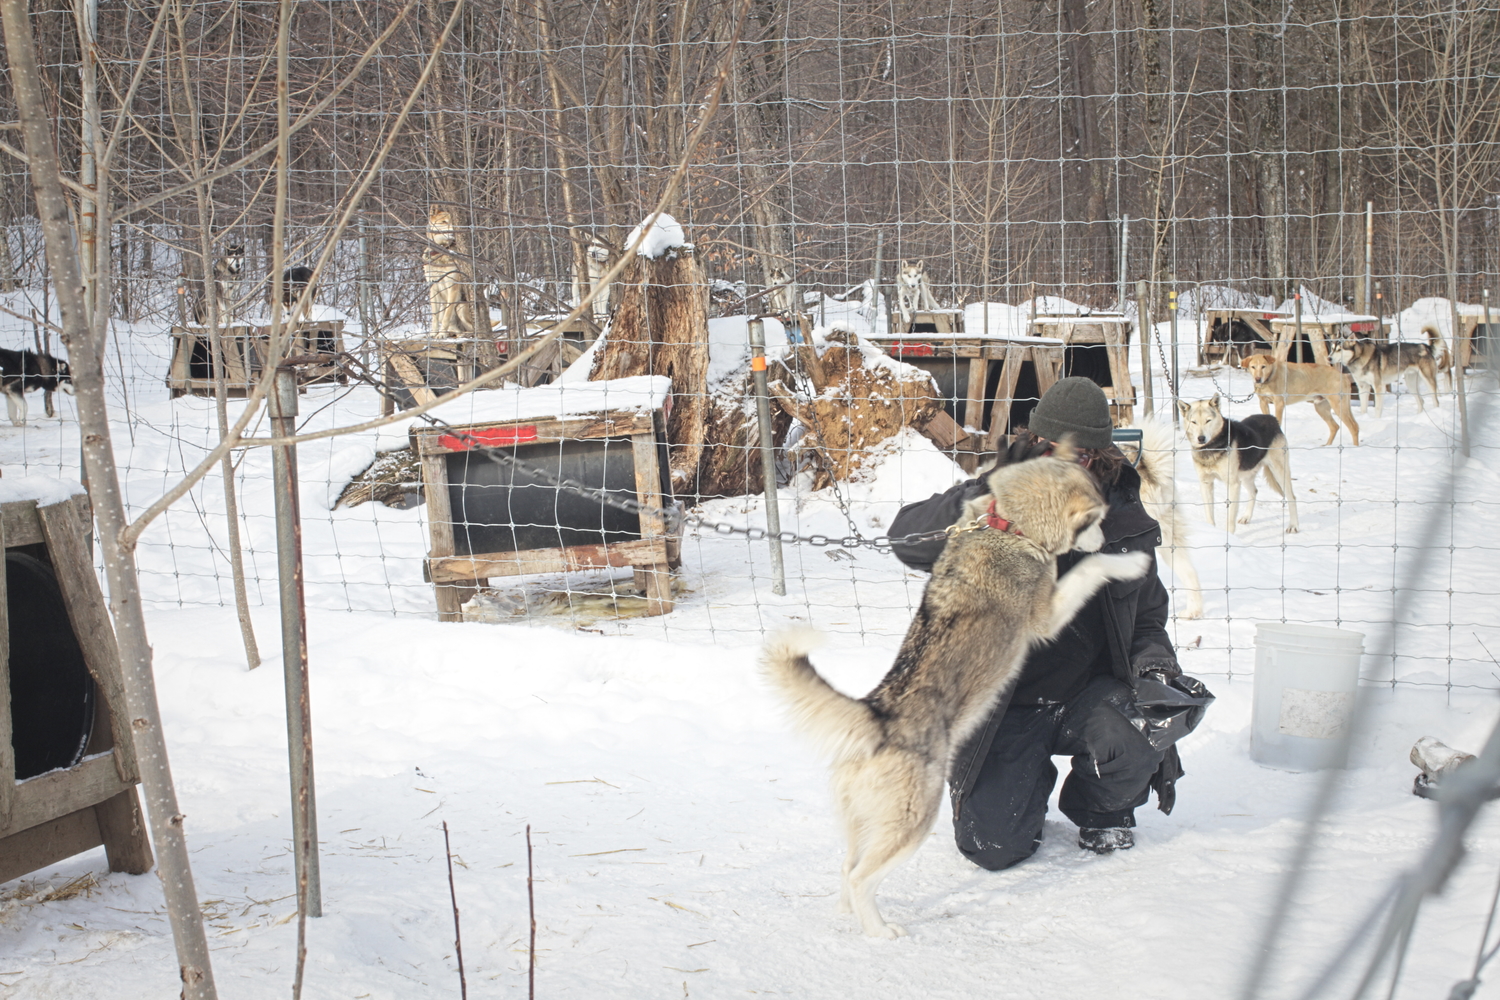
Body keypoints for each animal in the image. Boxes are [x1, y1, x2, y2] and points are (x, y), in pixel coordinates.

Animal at [1230, 352, 1362, 446]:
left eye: (1263, 366)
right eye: (1253, 367)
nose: (1257, 379)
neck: (1269, 377)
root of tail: (1343, 376)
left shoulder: (1279, 403)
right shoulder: (1263, 402)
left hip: (1338, 405)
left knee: (1353, 426)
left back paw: (1355, 447)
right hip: (1321, 407)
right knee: (1334, 426)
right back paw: (1327, 446)